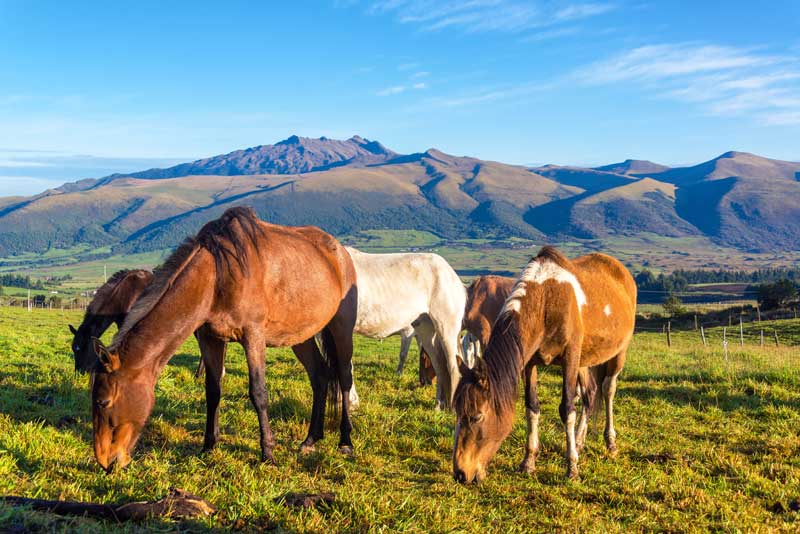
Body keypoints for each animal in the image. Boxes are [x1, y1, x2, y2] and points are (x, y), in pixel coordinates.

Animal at [88, 207, 360, 476]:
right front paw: (209, 446)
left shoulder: (253, 336)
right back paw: (311, 439)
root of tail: (339, 251)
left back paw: (345, 441)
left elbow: (258, 393)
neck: (216, 276)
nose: (106, 462)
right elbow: (213, 391)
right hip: (299, 337)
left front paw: (268, 454)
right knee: (320, 376)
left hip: (341, 329)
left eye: (103, 402)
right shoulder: (211, 339)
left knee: (344, 378)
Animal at [346, 247, 468, 410]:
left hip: (446, 329)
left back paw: (453, 409)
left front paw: (351, 403)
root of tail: (453, 276)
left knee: (453, 366)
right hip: (427, 332)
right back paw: (438, 405)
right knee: (439, 366)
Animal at [454, 249, 636, 484]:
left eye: (476, 417)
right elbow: (532, 407)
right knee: (590, 393)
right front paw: (528, 463)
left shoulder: (569, 360)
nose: (460, 473)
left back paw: (610, 442)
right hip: (584, 361)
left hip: (617, 354)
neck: (545, 301)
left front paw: (572, 468)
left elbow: (567, 409)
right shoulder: (529, 363)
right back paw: (579, 441)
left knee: (608, 390)